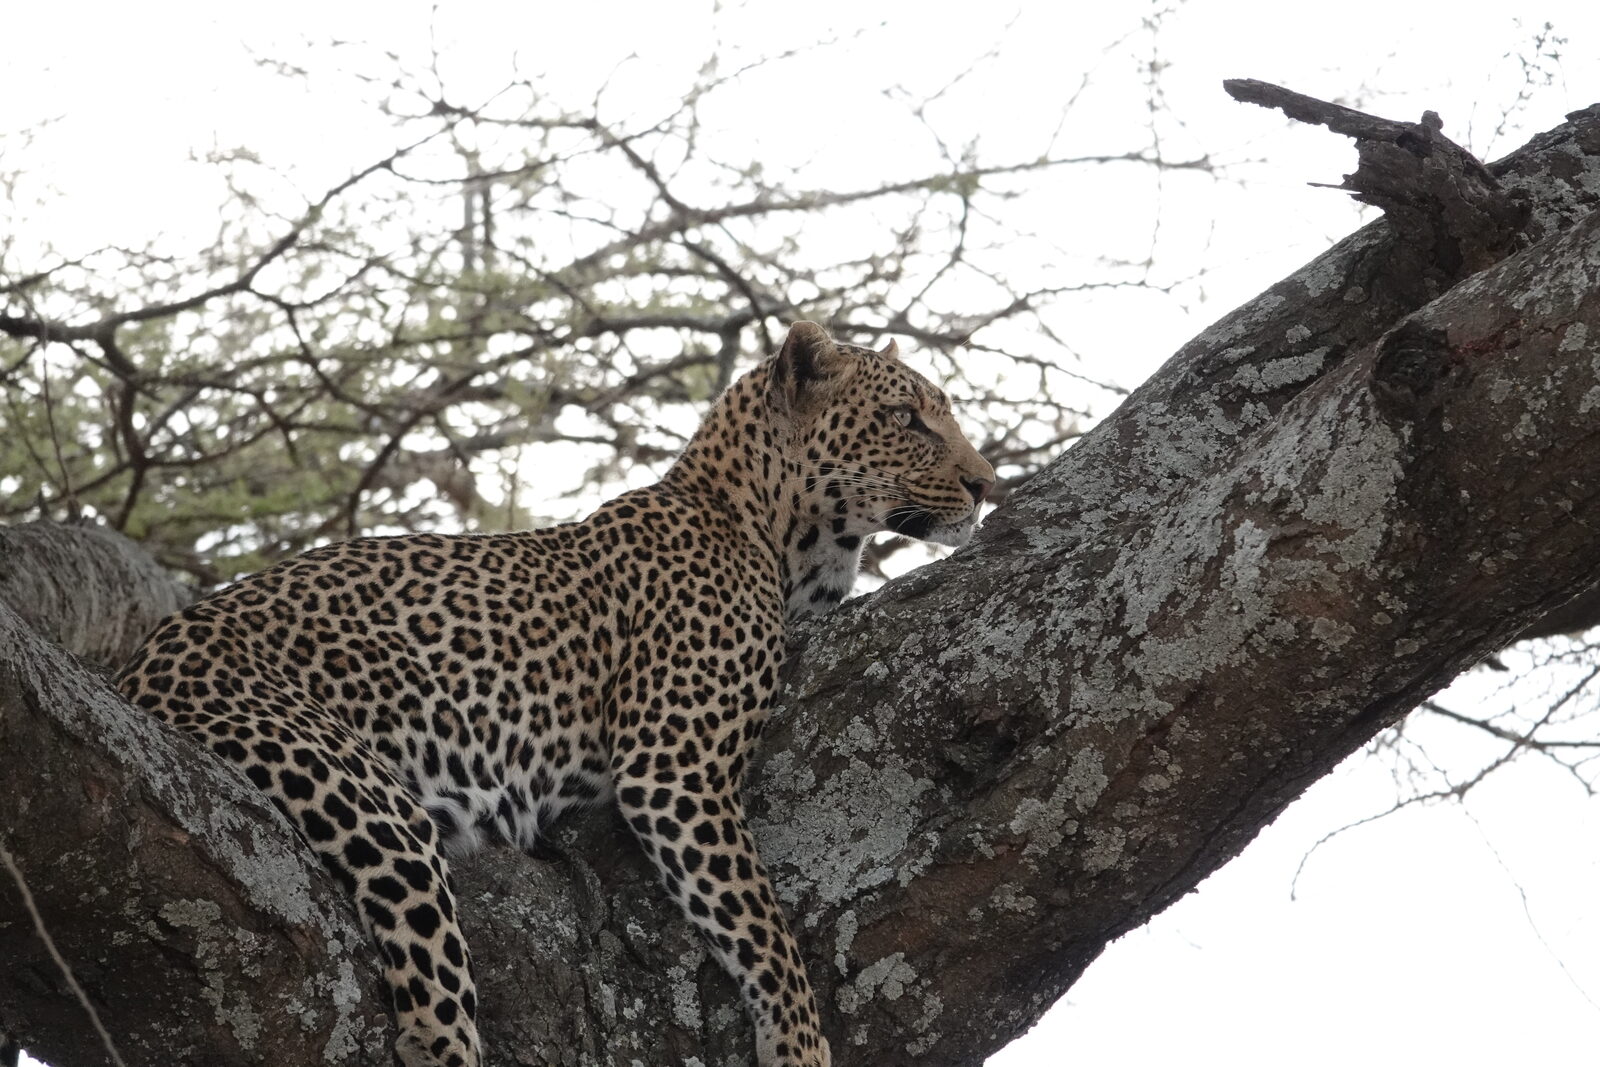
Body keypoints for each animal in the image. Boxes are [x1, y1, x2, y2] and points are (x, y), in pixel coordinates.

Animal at [116, 320, 996, 1067]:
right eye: (906, 418)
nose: (987, 485)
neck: (775, 536)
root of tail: (137, 662)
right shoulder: (673, 768)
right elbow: (764, 927)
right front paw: (801, 1043)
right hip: (362, 794)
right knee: (433, 993)